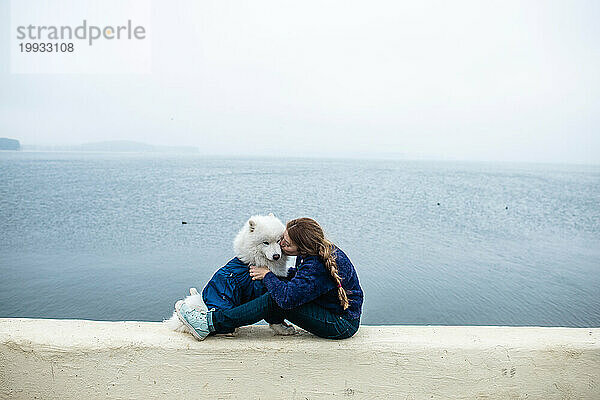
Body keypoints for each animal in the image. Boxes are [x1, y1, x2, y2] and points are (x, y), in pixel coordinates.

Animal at [163, 214, 296, 336]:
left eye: (278, 241)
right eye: (266, 243)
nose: (276, 256)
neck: (254, 261)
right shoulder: (262, 290)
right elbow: (274, 317)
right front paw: (282, 330)